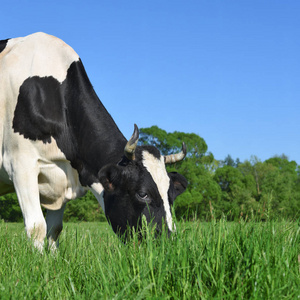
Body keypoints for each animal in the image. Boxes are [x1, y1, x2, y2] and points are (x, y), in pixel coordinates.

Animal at [0, 31, 188, 250]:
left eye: (171, 195)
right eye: (143, 194)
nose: (168, 243)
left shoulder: (63, 177)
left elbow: (54, 229)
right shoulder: (21, 165)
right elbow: (37, 227)